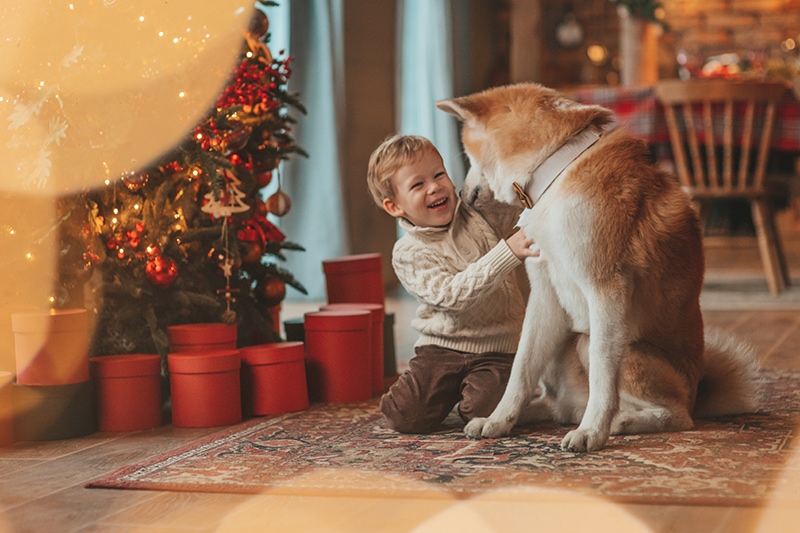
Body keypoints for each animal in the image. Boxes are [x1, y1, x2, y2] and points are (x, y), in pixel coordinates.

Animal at [438, 83, 756, 448]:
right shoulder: (544, 295)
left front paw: (592, 431)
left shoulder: (606, 289)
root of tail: (697, 391)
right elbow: (521, 369)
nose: (462, 196)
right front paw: (498, 420)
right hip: (563, 343)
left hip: (598, 345)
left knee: (676, 416)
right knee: (557, 405)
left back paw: (621, 421)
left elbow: (603, 376)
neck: (556, 169)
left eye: (466, 156)